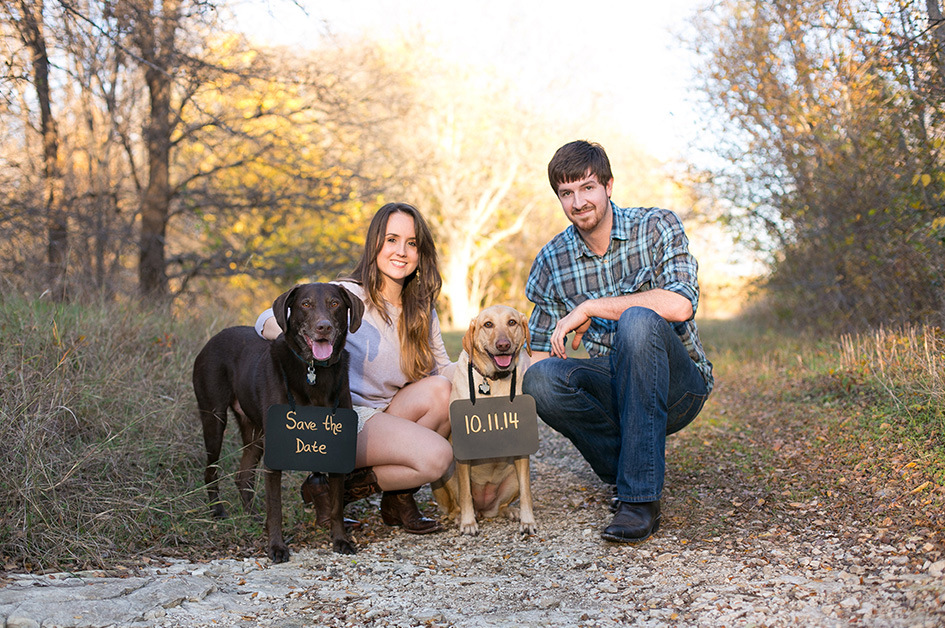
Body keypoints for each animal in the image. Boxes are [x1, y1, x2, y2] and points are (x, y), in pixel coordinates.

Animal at [432, 304, 536, 536]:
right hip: (447, 474)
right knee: (457, 505)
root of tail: (485, 508)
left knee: (502, 506)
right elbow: (465, 494)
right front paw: (468, 523)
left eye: (512, 322)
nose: (503, 345)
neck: (494, 380)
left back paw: (511, 511)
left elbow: (527, 493)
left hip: (512, 479)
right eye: (488, 324)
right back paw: (460, 517)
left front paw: (528, 521)